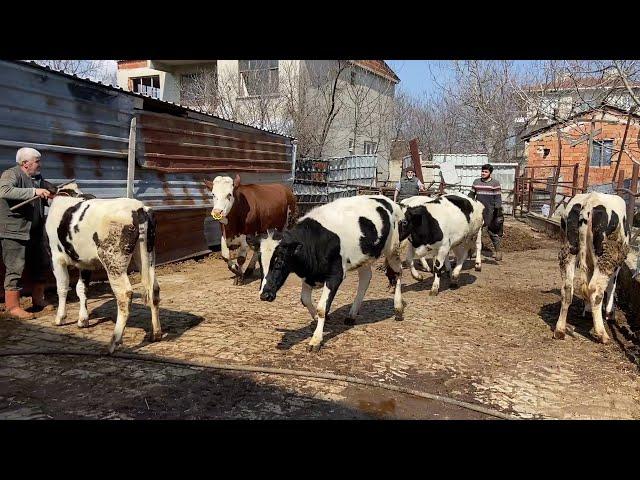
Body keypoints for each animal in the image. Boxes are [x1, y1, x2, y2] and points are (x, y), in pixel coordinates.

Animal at [44, 184, 161, 352]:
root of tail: (139, 208)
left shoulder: (56, 258)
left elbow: (62, 288)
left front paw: (60, 317)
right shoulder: (84, 262)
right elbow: (81, 289)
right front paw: (83, 319)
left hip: (113, 261)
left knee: (125, 294)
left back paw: (114, 341)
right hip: (147, 255)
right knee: (154, 288)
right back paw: (156, 333)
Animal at [251, 195, 404, 352]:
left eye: (279, 262)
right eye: (260, 263)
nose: (264, 295)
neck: (314, 241)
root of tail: (386, 199)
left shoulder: (335, 275)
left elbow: (322, 308)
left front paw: (316, 340)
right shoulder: (308, 275)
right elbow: (305, 300)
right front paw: (319, 321)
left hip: (393, 248)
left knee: (398, 273)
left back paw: (398, 308)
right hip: (364, 257)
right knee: (365, 278)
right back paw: (352, 315)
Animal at [556, 189, 632, 344]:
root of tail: (590, 200)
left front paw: (587, 310)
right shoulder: (617, 264)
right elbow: (611, 287)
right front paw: (610, 313)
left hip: (569, 250)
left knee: (568, 288)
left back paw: (560, 330)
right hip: (606, 256)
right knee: (595, 290)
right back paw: (602, 334)